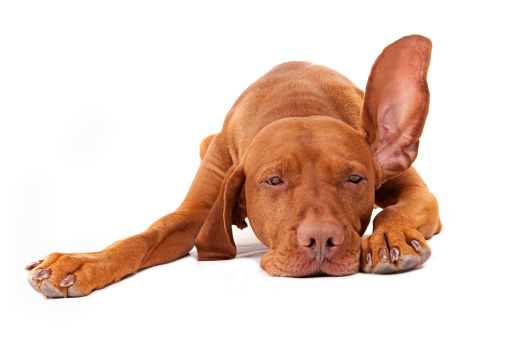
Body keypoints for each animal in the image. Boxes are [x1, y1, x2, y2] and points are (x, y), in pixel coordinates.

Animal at [26, 35, 440, 298]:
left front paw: (389, 238)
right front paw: (84, 263)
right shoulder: (196, 209)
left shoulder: (421, 195)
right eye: (273, 180)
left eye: (355, 179)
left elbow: (395, 210)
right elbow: (145, 236)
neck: (297, 101)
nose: (322, 240)